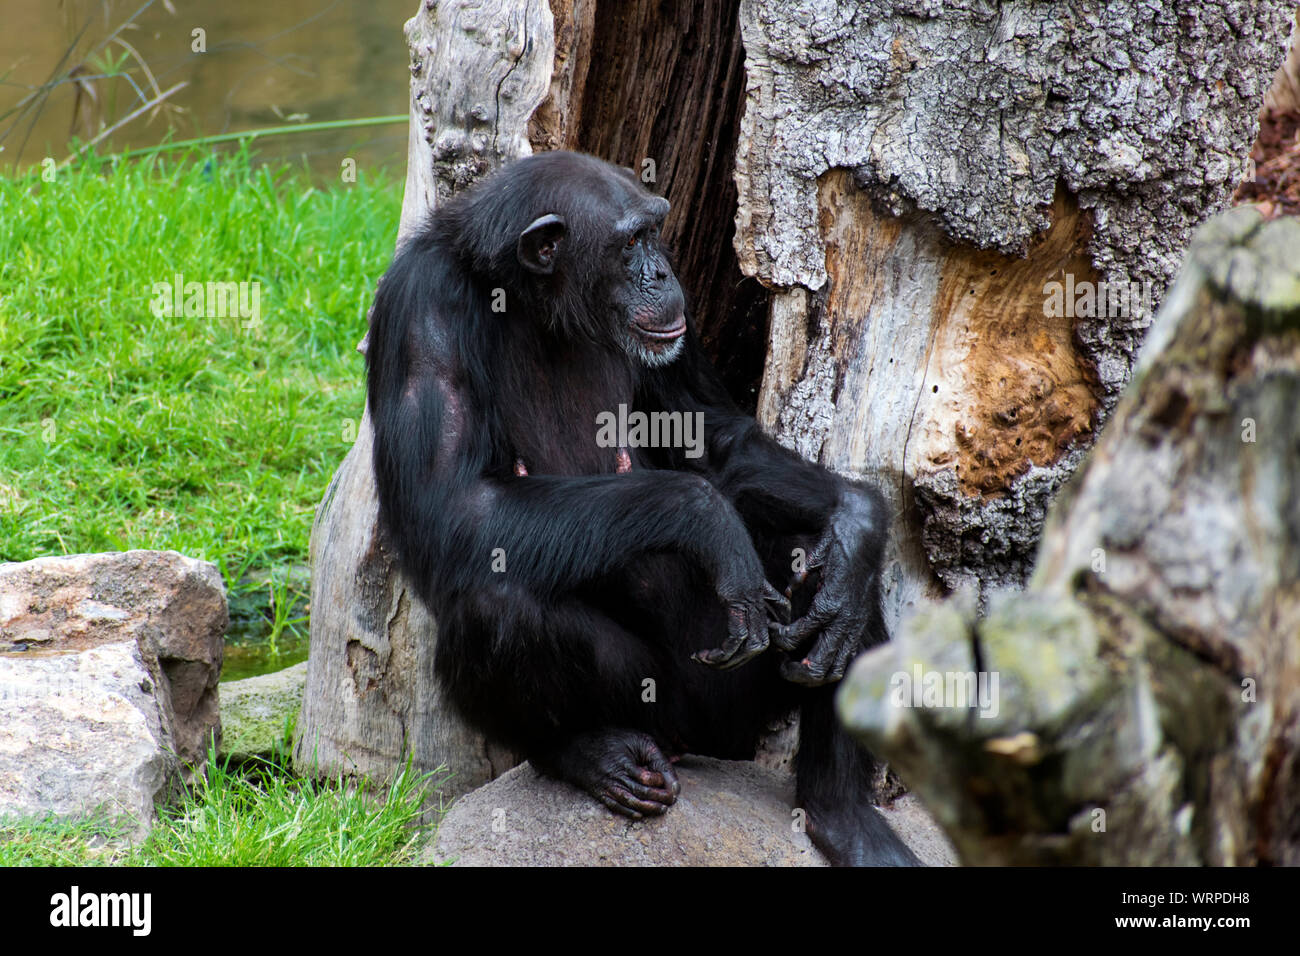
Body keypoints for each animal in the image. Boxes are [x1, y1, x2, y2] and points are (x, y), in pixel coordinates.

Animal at [361, 149, 920, 868]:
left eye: (656, 231)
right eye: (630, 244)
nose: (663, 272)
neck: (538, 305)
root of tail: (709, 744)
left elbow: (713, 437)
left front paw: (855, 515)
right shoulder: (422, 310)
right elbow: (454, 507)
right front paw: (704, 518)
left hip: (744, 695)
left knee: (830, 578)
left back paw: (841, 812)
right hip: (664, 710)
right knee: (496, 605)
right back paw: (592, 754)